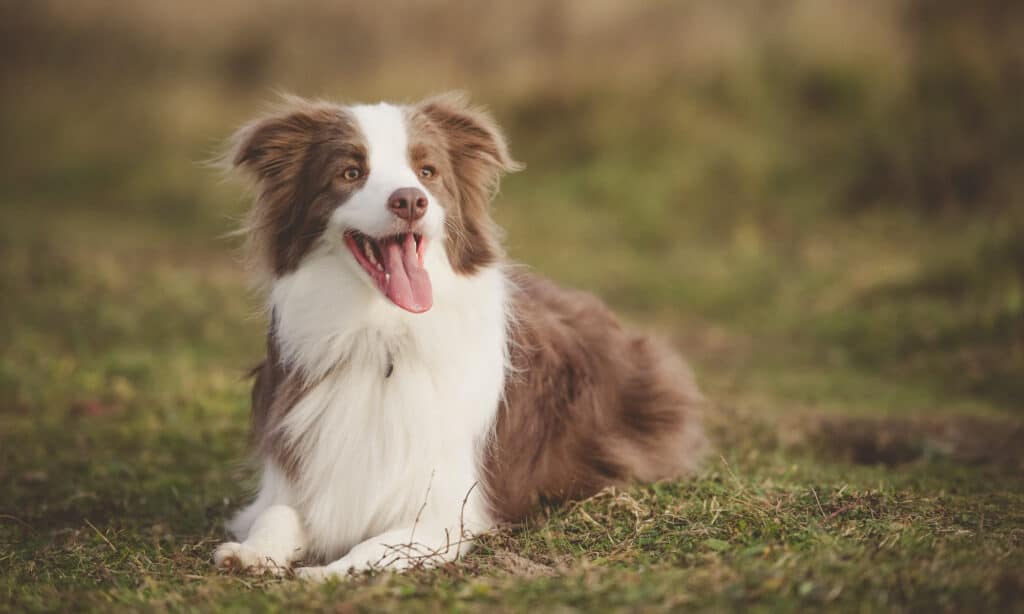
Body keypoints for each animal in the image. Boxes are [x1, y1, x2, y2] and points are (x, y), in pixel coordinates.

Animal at [211, 92, 708, 581]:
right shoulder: (294, 471)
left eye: (427, 172)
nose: (410, 201)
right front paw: (250, 552)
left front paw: (329, 572)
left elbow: (380, 543)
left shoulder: (448, 512)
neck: (382, 333)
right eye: (350, 172)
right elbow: (276, 513)